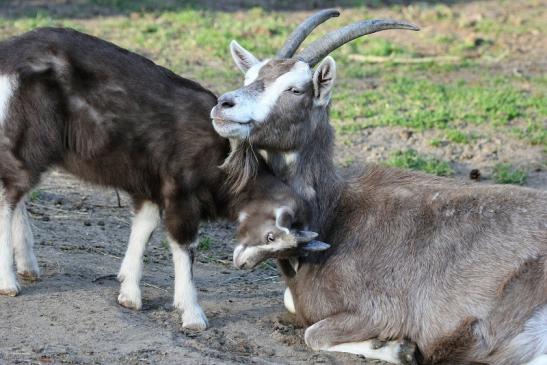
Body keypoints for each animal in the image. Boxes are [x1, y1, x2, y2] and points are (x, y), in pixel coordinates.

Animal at [0, 12, 342, 330]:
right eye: (271, 236)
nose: (242, 264)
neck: (228, 162)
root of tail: (9, 55)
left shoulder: (152, 189)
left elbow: (144, 227)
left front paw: (129, 294)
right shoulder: (181, 192)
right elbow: (184, 246)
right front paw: (192, 315)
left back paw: (28, 265)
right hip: (26, 141)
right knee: (9, 195)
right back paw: (9, 282)